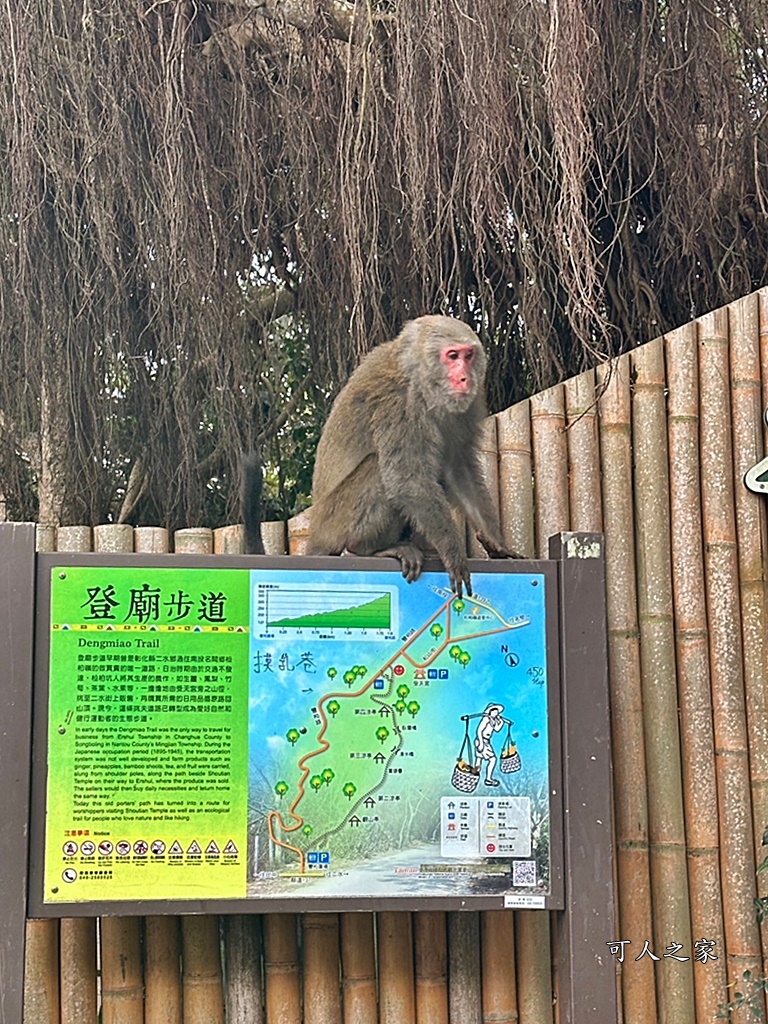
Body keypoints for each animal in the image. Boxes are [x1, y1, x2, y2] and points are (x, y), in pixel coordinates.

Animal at [307, 315, 518, 598]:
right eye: (452, 356)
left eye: (468, 355)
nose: (465, 378)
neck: (418, 378)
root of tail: (315, 534)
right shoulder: (400, 403)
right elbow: (407, 480)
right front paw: (453, 552)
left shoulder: (467, 405)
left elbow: (458, 470)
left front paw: (496, 542)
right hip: (335, 524)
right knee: (379, 469)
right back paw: (368, 548)